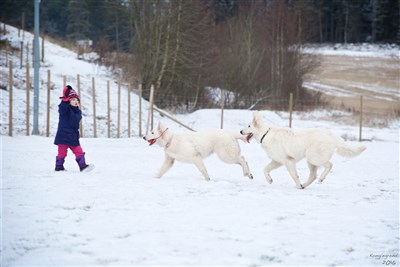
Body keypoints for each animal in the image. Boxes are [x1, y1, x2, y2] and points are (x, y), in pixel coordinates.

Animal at [239, 112, 368, 189]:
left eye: (249, 126)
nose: (240, 131)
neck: (266, 134)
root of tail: (331, 135)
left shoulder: (288, 161)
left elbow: (294, 175)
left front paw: (296, 185)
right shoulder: (278, 161)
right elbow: (265, 169)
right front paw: (269, 180)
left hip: (313, 157)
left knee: (329, 165)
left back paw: (319, 179)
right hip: (310, 161)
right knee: (313, 175)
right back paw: (304, 185)